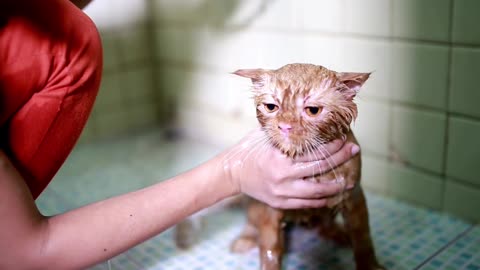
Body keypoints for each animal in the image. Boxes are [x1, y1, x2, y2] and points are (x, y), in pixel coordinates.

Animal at [231, 63, 384, 270]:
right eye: (271, 107)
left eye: (312, 110)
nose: (285, 126)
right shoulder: (270, 205)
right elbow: (270, 247)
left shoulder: (354, 197)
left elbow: (363, 238)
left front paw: (369, 265)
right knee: (251, 220)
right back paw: (245, 238)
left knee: (325, 225)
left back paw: (338, 234)